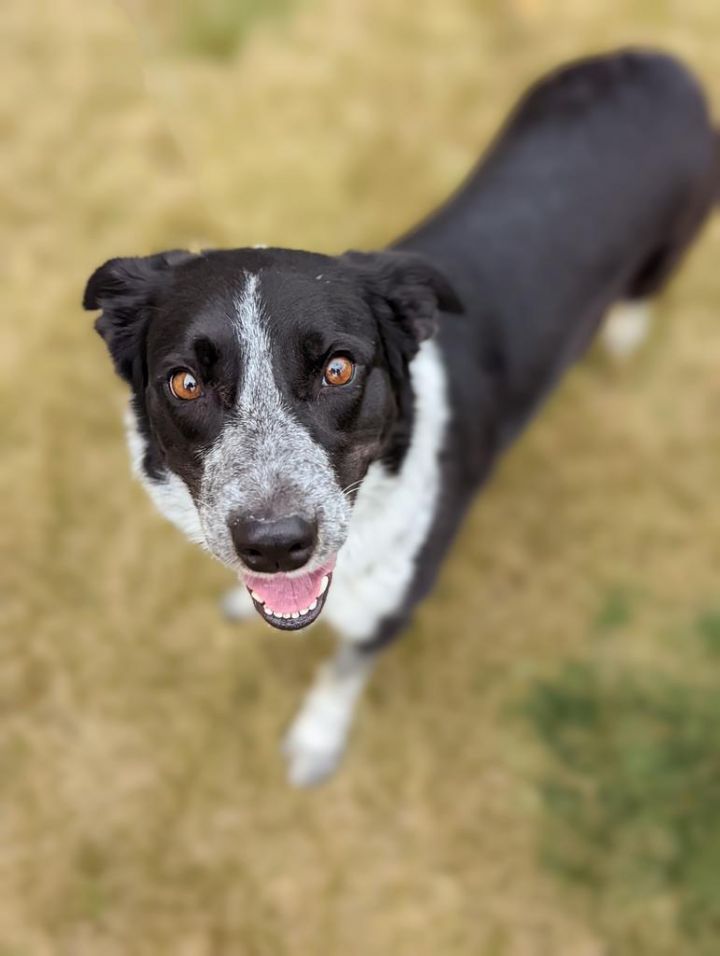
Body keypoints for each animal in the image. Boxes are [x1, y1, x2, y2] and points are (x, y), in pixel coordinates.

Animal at [83, 48, 716, 788]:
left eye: (339, 369)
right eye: (185, 383)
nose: (275, 545)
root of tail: (659, 62)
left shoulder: (389, 611)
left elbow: (341, 672)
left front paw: (317, 740)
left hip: (672, 244)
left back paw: (623, 332)